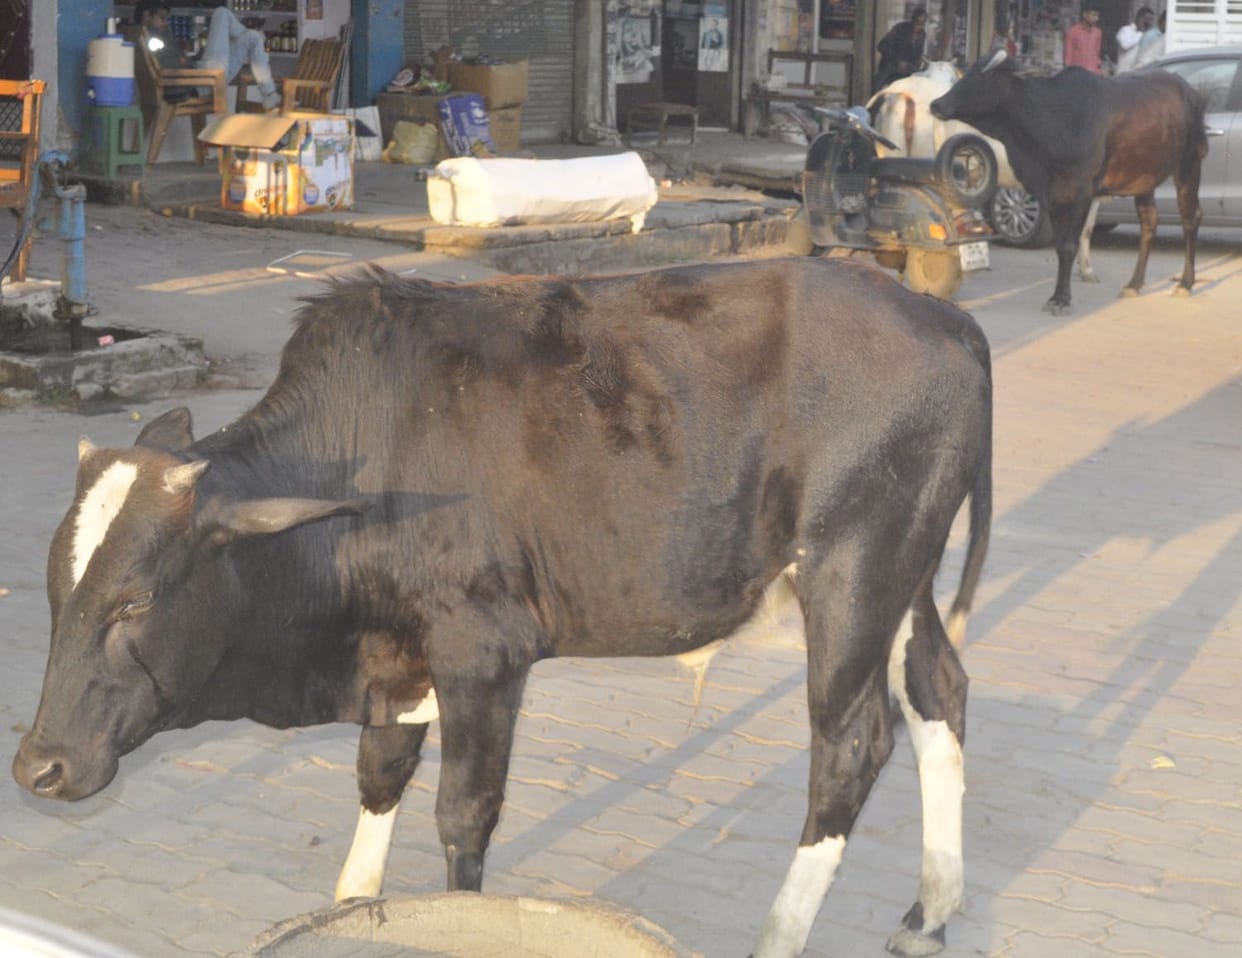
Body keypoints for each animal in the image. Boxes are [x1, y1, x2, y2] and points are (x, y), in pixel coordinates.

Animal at [12, 258, 992, 958]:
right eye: (57, 591)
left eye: (136, 599)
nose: (37, 766)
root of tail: (939, 313)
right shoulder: (398, 661)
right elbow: (376, 783)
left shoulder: (483, 653)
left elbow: (462, 814)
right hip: (903, 576)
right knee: (938, 689)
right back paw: (932, 910)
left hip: (853, 572)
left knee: (851, 745)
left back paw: (785, 936)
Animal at [930, 48, 1208, 314]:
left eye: (980, 77)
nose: (936, 104)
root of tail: (1190, 91)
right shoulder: (1052, 194)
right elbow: (1062, 246)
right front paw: (1057, 296)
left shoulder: (1082, 193)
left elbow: (1069, 246)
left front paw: (1062, 299)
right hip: (1145, 179)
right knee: (1149, 221)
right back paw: (1134, 284)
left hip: (1189, 165)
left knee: (1190, 218)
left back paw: (1185, 283)